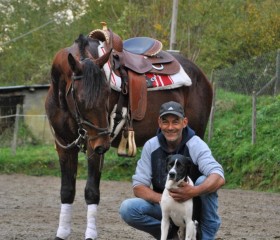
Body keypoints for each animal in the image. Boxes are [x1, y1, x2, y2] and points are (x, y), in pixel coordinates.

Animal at [45, 28, 212, 240]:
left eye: (107, 94)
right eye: (81, 99)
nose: (103, 144)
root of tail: (202, 76)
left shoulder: (93, 146)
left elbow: (91, 191)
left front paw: (90, 234)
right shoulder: (64, 145)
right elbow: (67, 190)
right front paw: (62, 233)